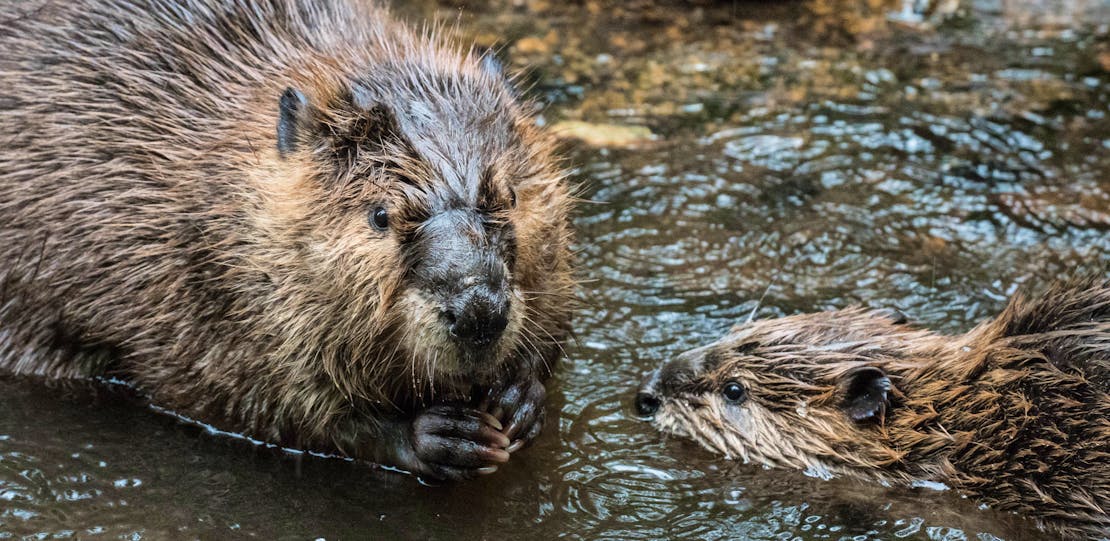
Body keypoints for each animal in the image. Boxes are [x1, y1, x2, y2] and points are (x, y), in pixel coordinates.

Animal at [0, 0, 572, 482]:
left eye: (511, 194)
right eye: (379, 215)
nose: (478, 311)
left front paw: (519, 398)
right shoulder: (206, 295)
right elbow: (264, 402)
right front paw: (442, 435)